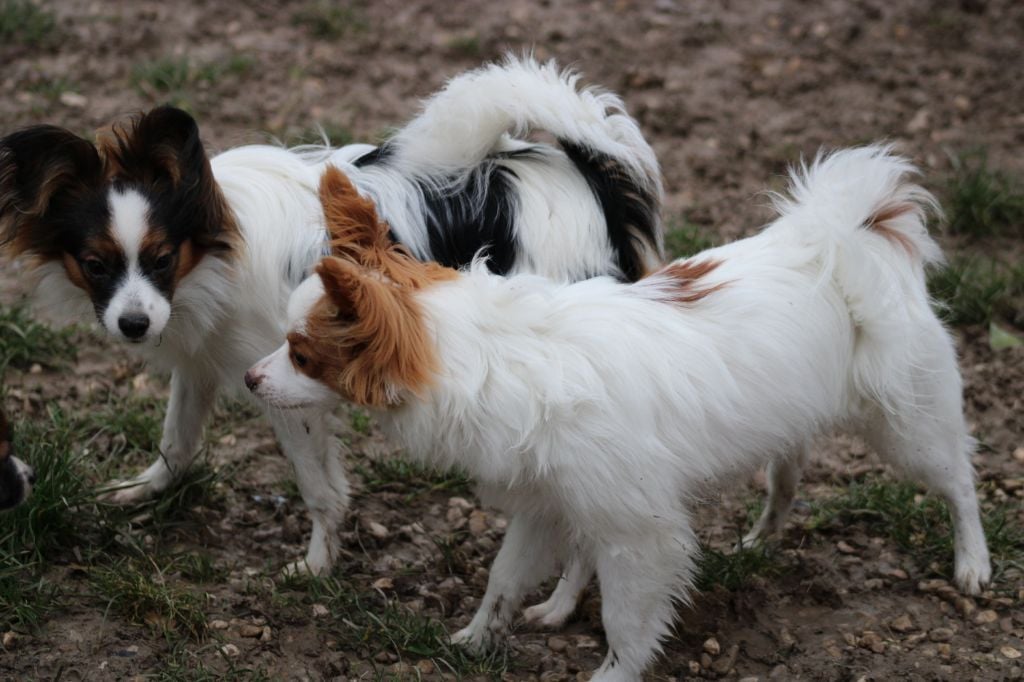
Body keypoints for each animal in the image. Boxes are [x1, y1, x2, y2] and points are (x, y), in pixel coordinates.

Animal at [0, 55, 663, 569]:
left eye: (162, 258)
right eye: (95, 265)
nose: (133, 325)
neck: (213, 257)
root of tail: (585, 175)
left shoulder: (290, 386)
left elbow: (318, 487)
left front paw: (318, 565)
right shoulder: (200, 358)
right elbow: (177, 440)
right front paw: (141, 492)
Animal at [247, 148, 991, 679]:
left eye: (303, 356)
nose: (251, 378)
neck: (484, 354)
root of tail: (837, 240)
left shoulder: (639, 530)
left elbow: (627, 624)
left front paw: (607, 672)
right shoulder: (547, 501)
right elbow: (503, 581)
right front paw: (474, 640)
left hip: (907, 427)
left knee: (959, 482)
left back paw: (973, 565)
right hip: (793, 424)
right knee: (787, 475)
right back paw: (759, 539)